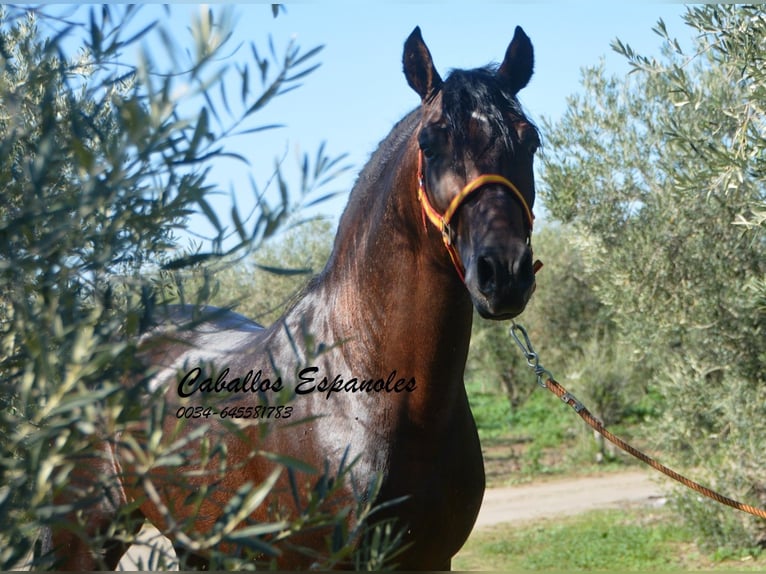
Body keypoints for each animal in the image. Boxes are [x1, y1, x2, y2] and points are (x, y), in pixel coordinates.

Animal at [48, 25, 544, 572]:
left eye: (530, 140)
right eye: (430, 146)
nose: (504, 273)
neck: (368, 390)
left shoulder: (432, 559)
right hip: (85, 538)